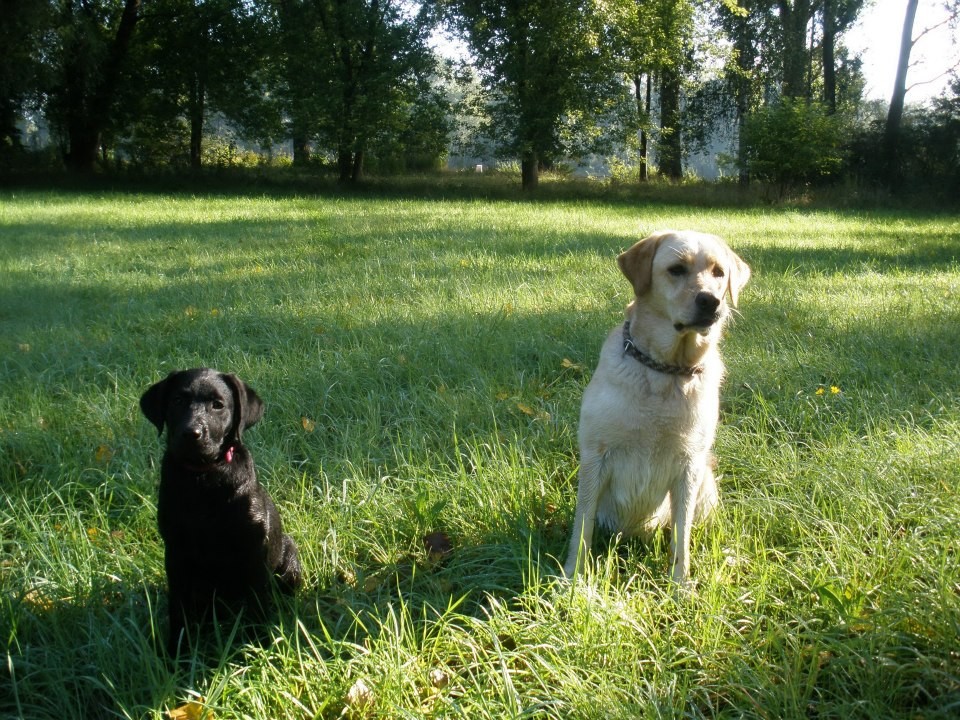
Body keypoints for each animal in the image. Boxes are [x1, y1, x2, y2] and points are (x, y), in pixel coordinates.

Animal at [139, 368, 302, 656]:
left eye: (218, 405)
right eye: (177, 401)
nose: (191, 433)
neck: (204, 477)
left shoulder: (254, 550)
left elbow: (258, 600)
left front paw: (259, 644)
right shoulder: (176, 555)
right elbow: (178, 609)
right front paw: (178, 653)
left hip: (289, 566)